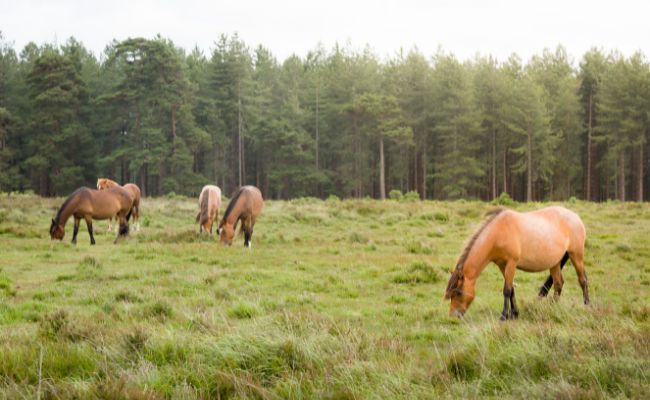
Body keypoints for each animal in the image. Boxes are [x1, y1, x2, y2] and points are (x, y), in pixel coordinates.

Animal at [444, 206, 589, 320]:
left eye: (458, 293)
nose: (453, 316)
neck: (498, 232)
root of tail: (576, 217)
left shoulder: (511, 263)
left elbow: (507, 290)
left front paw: (504, 316)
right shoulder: (502, 265)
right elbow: (512, 289)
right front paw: (514, 314)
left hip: (576, 255)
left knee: (582, 280)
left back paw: (587, 305)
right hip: (555, 262)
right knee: (558, 283)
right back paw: (552, 308)